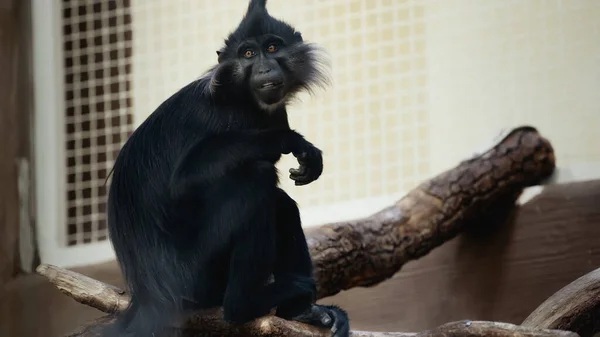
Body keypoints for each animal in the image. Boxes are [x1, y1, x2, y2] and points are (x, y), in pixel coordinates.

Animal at [101, 0, 350, 336]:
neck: (245, 100)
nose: (264, 68)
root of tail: (149, 295)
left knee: (279, 201)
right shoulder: (217, 113)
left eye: (272, 48)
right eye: (248, 54)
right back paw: (243, 304)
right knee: (256, 179)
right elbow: (183, 181)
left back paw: (301, 312)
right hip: (196, 275)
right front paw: (292, 141)